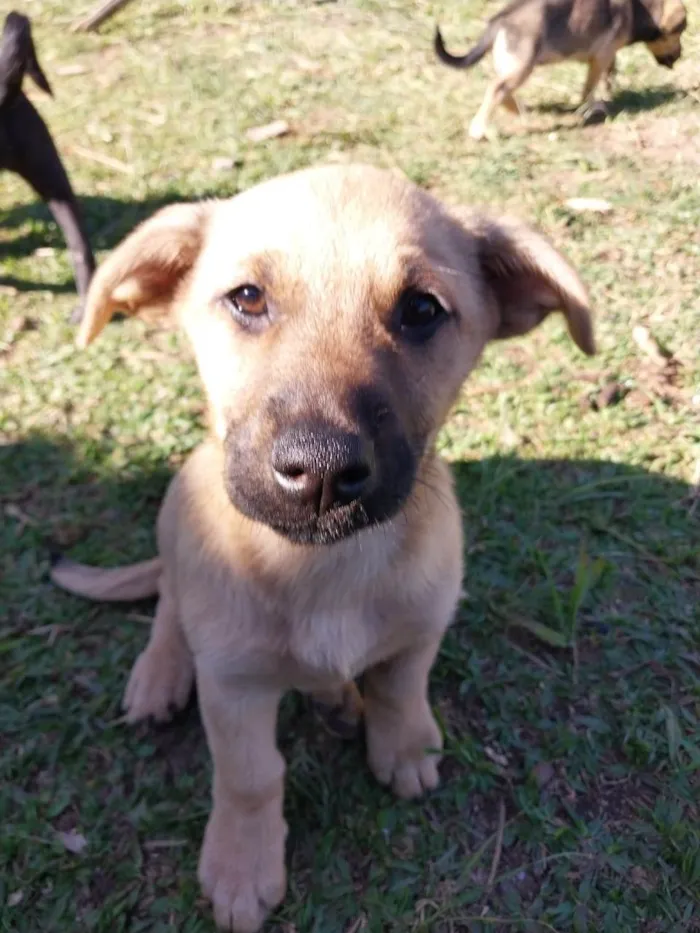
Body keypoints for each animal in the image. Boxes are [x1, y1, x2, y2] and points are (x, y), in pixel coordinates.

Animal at [50, 164, 596, 928]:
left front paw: (403, 745)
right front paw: (242, 864)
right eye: (247, 297)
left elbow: (399, 688)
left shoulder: (422, 628)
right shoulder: (234, 686)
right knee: (169, 601)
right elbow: (250, 777)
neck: (324, 567)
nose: (321, 470)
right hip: (174, 514)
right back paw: (160, 672)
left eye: (422, 308)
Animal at [434, 0, 688, 140]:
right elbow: (589, 86)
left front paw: (607, 96)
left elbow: (608, 76)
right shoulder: (601, 56)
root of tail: (499, 20)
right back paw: (479, 129)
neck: (640, 8)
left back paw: (521, 112)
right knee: (496, 89)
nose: (680, 55)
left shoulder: (607, 55)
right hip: (522, 66)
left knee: (502, 92)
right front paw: (592, 107)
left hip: (511, 66)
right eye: (679, 31)